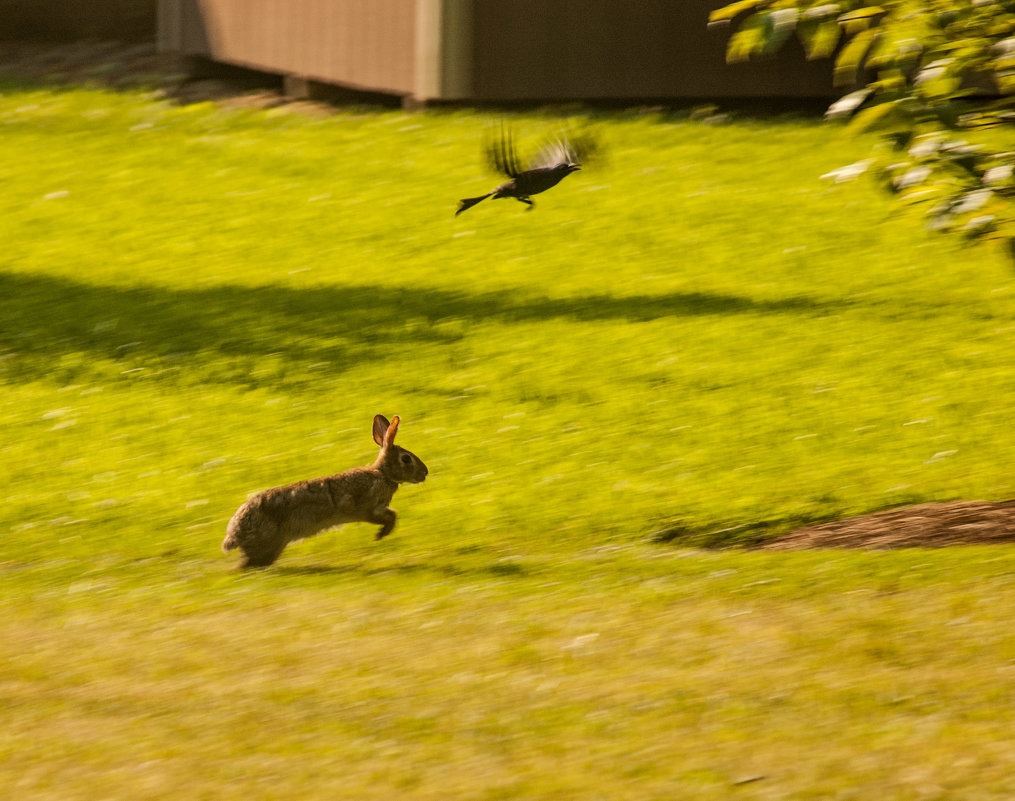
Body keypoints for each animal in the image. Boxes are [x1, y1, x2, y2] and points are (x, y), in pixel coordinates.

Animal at [222, 412, 428, 568]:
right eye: (406, 459)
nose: (425, 473)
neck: (383, 474)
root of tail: (233, 534)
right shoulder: (367, 510)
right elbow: (388, 517)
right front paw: (380, 535)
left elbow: (393, 514)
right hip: (267, 544)